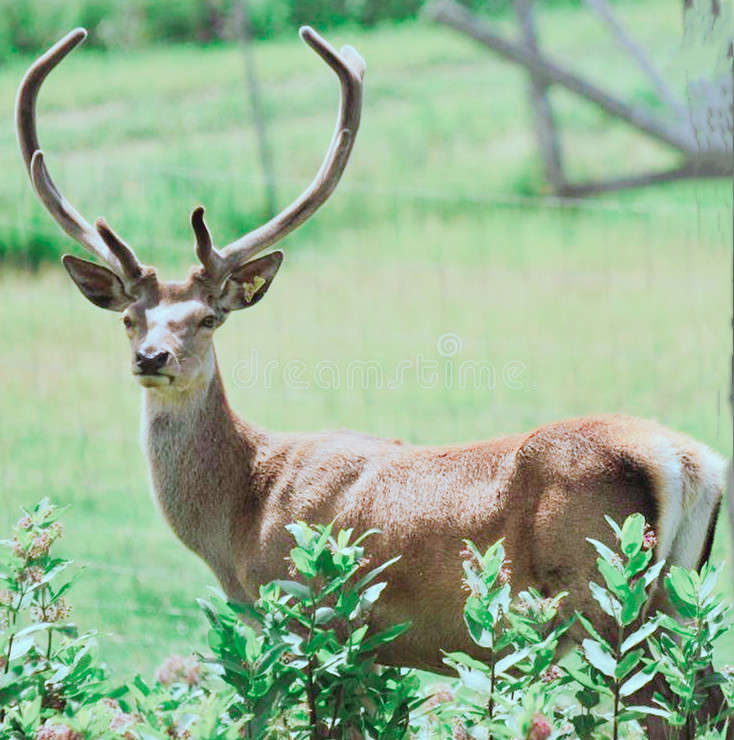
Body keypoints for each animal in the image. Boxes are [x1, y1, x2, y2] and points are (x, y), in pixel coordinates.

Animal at [17, 26, 732, 736]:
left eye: (208, 318)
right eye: (129, 319)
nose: (153, 357)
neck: (242, 512)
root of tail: (688, 460)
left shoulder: (307, 610)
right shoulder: (368, 645)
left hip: (603, 593)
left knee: (660, 705)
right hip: (678, 591)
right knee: (705, 694)